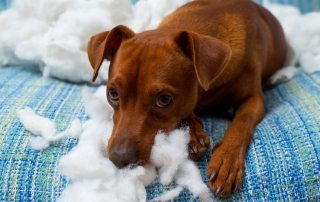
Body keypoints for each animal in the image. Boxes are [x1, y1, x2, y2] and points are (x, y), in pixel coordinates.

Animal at [86, 0, 286, 196]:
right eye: (113, 94)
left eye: (164, 100)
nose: (119, 159)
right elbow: (187, 112)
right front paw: (193, 135)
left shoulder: (254, 99)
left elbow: (242, 123)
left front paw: (226, 160)